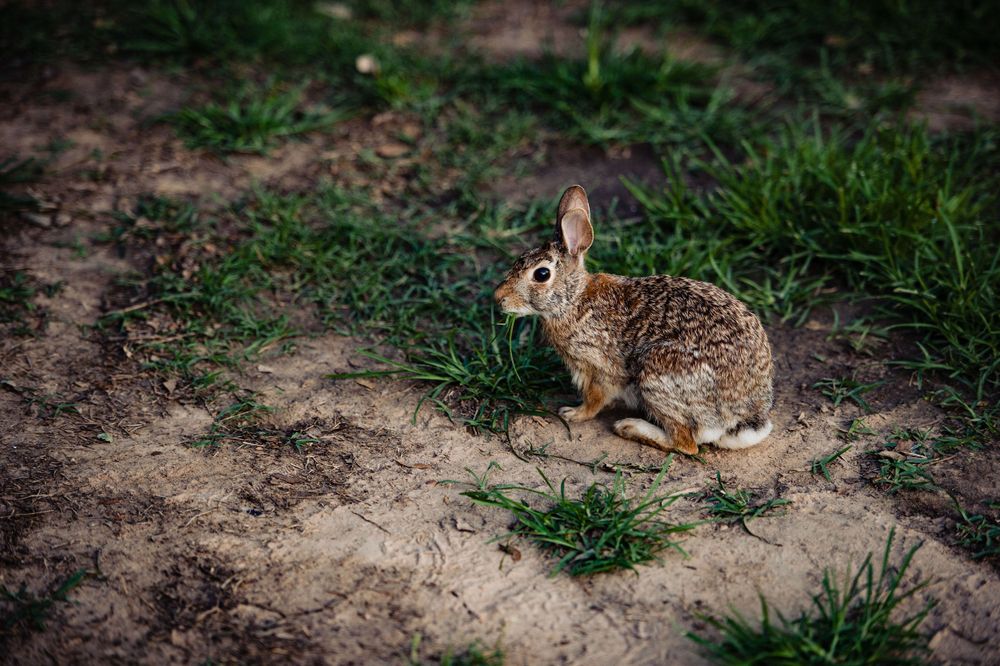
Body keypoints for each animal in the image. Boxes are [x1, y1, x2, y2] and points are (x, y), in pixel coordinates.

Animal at [494, 185, 774, 455]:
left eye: (541, 274)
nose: (498, 298)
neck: (574, 301)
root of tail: (743, 417)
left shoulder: (599, 367)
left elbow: (595, 400)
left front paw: (572, 413)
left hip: (656, 375)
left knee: (686, 443)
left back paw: (629, 427)